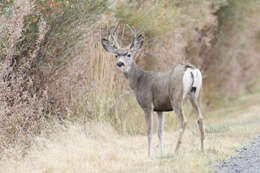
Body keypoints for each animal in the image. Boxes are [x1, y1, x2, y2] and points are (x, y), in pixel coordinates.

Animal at [101, 25, 205, 157]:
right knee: (200, 118)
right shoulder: (160, 109)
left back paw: (176, 151)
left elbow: (149, 131)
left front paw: (149, 155)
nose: (120, 63)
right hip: (194, 95)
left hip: (176, 97)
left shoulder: (147, 105)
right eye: (116, 55)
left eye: (128, 54)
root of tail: (190, 70)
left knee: (184, 121)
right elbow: (160, 132)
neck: (139, 81)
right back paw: (202, 149)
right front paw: (162, 154)